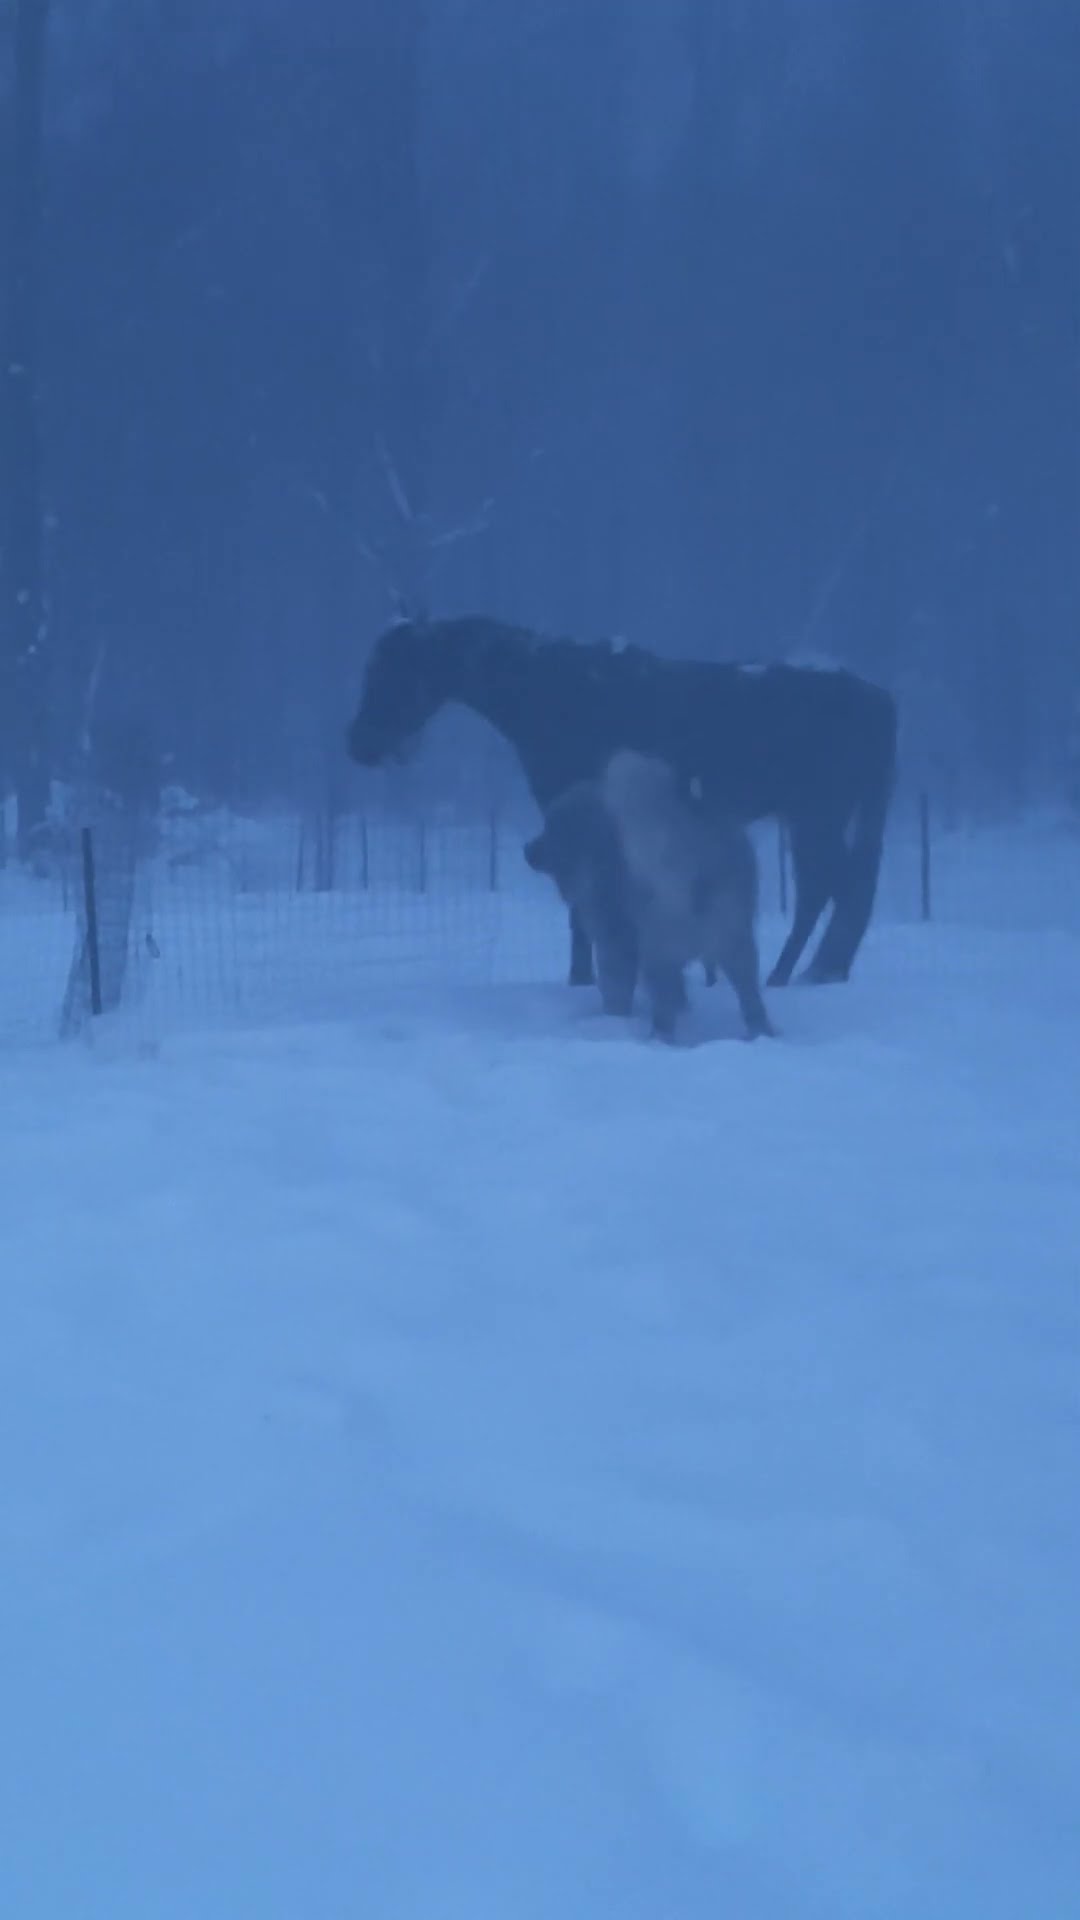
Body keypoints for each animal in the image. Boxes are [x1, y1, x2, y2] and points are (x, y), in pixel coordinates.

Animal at [345, 615, 897, 989]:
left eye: (393, 670)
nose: (358, 744)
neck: (551, 693)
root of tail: (878, 699)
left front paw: (583, 977)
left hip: (817, 815)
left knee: (832, 888)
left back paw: (800, 974)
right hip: (810, 818)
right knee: (829, 891)